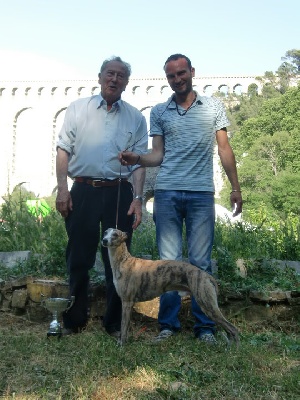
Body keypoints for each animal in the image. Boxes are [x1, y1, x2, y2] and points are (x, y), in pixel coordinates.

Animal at [102, 230, 240, 346]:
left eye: (115, 234)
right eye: (105, 232)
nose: (104, 240)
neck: (123, 261)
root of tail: (206, 275)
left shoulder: (127, 302)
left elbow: (123, 326)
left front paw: (121, 345)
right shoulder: (128, 303)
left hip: (208, 305)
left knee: (233, 329)